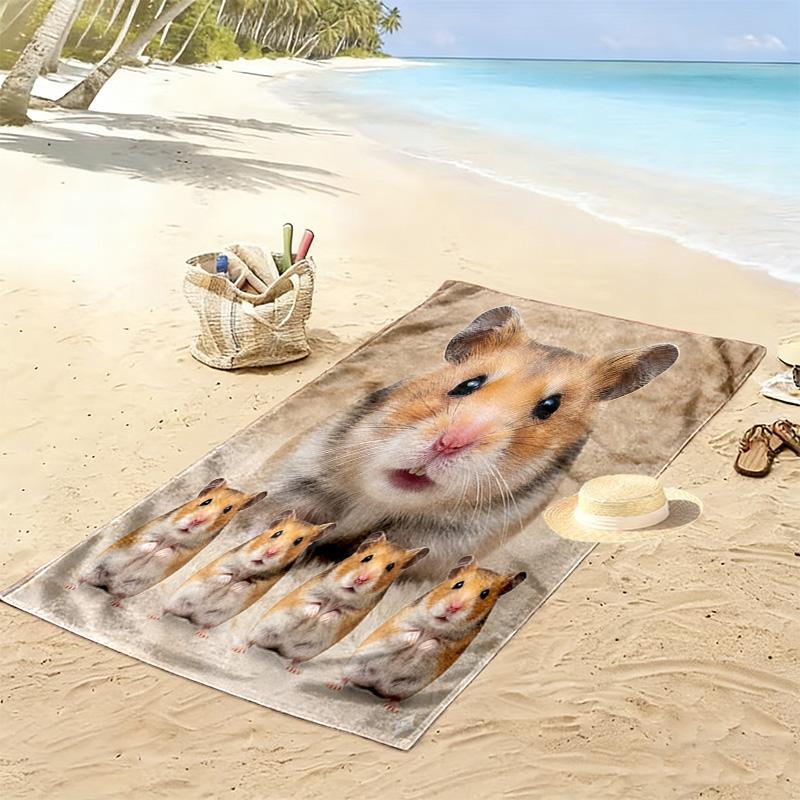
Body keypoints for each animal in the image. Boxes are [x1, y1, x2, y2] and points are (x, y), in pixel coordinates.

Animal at [79, 478, 267, 600]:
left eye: (227, 510)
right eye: (206, 502)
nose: (196, 521)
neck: (180, 533)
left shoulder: (186, 551)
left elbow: (168, 551)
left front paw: (159, 553)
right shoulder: (147, 533)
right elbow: (147, 543)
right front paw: (151, 549)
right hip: (98, 565)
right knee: (85, 577)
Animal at [163, 512, 335, 630]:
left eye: (298, 541)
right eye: (277, 533)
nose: (270, 553)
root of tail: (189, 617)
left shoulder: (265, 580)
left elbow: (249, 582)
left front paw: (236, 586)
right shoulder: (226, 563)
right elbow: (223, 573)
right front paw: (227, 581)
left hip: (214, 616)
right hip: (179, 597)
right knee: (167, 609)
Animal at [244, 532, 429, 672]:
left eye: (390, 567)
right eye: (367, 558)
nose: (361, 580)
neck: (342, 596)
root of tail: (278, 649)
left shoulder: (352, 612)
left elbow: (334, 614)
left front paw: (322, 618)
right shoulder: (310, 594)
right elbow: (310, 605)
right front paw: (314, 615)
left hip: (306, 650)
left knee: (295, 658)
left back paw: (293, 669)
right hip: (264, 628)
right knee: (251, 640)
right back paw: (241, 648)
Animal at [264, 305, 679, 579]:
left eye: (549, 407)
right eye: (468, 384)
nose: (448, 444)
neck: (380, 502)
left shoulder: (439, 547)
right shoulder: (302, 480)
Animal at [334, 555, 525, 710]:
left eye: (485, 594)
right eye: (458, 584)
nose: (453, 608)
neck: (436, 626)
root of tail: (374, 686)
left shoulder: (452, 645)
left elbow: (435, 643)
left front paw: (422, 645)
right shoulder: (400, 624)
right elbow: (405, 634)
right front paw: (416, 639)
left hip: (405, 688)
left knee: (394, 696)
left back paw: (391, 707)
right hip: (356, 666)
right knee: (346, 677)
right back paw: (335, 685)